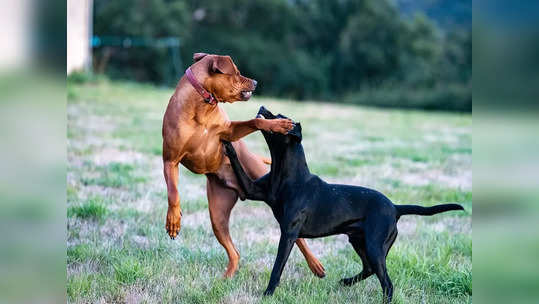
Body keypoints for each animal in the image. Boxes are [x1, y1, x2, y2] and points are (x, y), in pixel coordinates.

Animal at [161, 52, 324, 278]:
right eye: (236, 72)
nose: (255, 82)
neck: (202, 105)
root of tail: (240, 190)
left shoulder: (229, 132)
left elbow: (255, 121)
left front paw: (277, 124)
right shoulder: (170, 161)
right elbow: (173, 193)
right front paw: (173, 220)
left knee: (299, 239)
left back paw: (316, 265)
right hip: (218, 216)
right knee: (235, 252)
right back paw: (226, 278)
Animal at [223, 105, 464, 300]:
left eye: (281, 117)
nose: (263, 106)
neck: (287, 173)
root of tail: (395, 208)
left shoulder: (289, 233)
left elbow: (277, 267)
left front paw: (268, 293)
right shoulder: (252, 190)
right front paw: (227, 143)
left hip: (374, 246)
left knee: (387, 283)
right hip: (359, 241)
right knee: (369, 269)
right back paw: (346, 281)